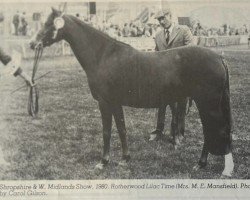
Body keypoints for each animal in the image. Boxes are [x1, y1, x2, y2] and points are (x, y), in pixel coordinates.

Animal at [30, 8, 233, 177]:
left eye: (49, 23)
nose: (33, 44)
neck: (103, 56)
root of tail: (219, 58)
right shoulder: (115, 103)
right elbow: (122, 129)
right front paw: (125, 159)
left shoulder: (105, 102)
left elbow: (107, 131)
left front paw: (104, 162)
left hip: (207, 103)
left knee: (215, 130)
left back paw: (208, 164)